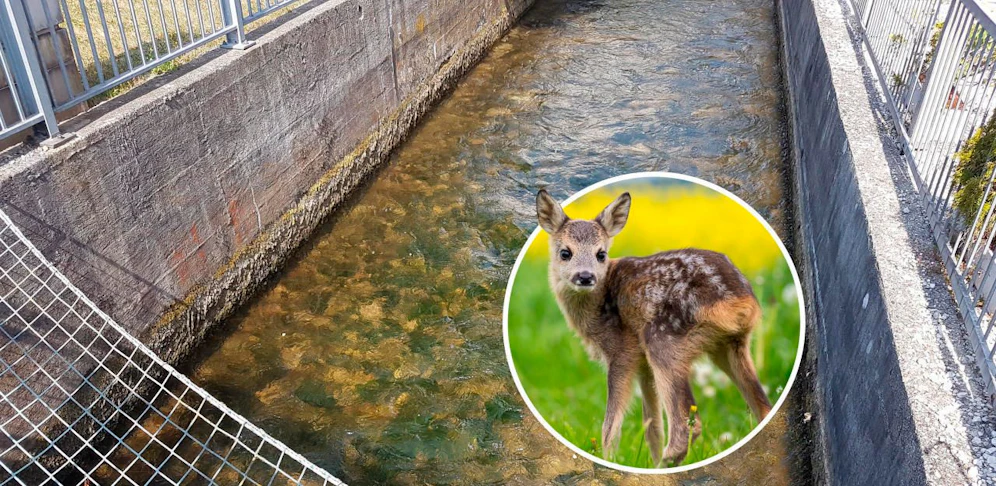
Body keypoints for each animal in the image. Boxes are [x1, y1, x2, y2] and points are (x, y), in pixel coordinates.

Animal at [534, 188, 772, 467]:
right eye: (565, 253)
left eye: (601, 254)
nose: (585, 276)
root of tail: (739, 301)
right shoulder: (642, 364)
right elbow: (652, 425)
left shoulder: (622, 351)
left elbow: (610, 426)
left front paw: (610, 459)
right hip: (729, 347)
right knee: (763, 408)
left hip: (663, 340)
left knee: (686, 425)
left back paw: (662, 466)